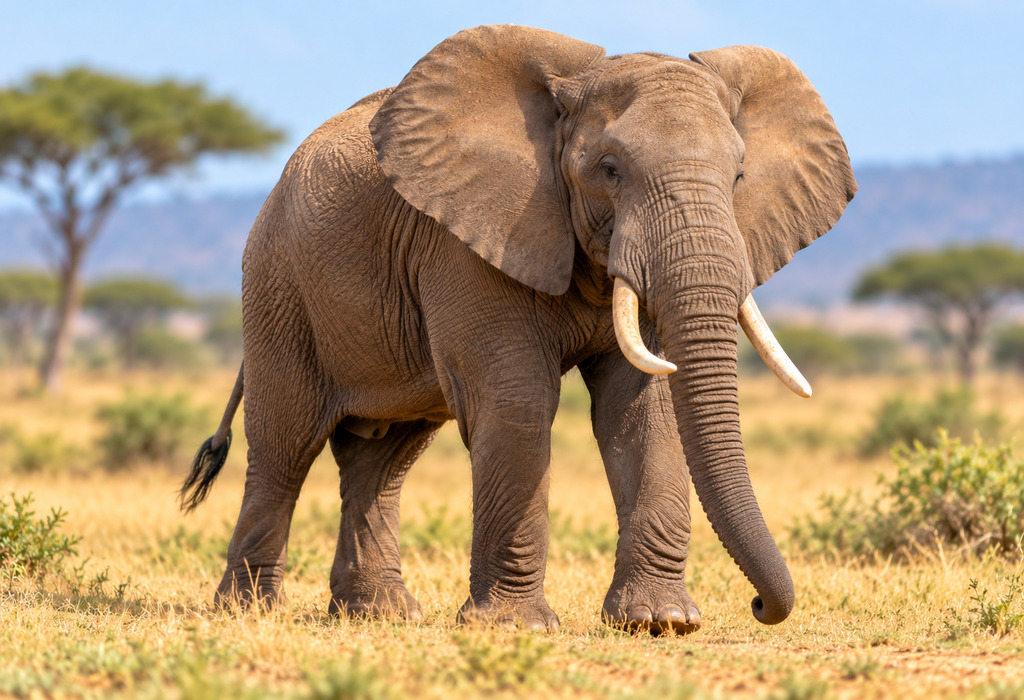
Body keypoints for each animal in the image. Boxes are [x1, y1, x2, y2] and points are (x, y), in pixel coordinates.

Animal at [180, 24, 856, 634]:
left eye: (739, 177)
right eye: (609, 169)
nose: (760, 606)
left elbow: (642, 406)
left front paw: (659, 623)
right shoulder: (467, 240)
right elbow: (517, 401)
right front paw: (514, 627)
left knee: (384, 457)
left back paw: (378, 614)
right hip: (279, 285)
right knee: (285, 444)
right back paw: (249, 611)